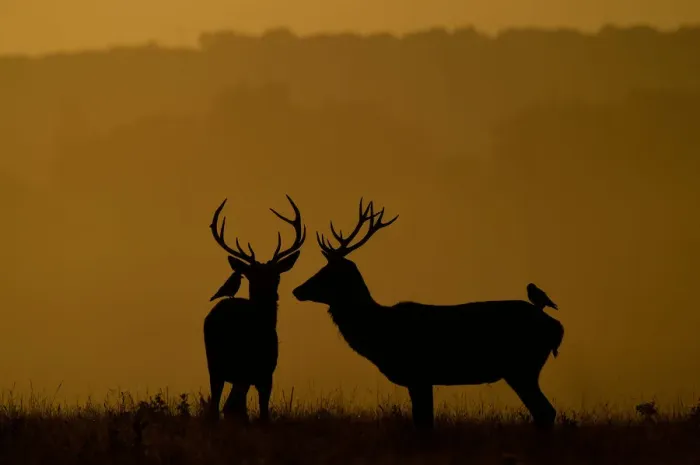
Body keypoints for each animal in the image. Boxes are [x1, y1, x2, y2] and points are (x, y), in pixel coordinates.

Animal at [204, 194, 306, 424]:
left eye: (277, 275)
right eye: (253, 276)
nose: (271, 295)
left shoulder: (265, 371)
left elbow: (260, 411)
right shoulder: (254, 370)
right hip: (219, 364)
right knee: (221, 404)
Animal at [292, 198, 564, 431]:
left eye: (327, 273)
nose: (297, 289)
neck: (380, 332)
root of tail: (556, 327)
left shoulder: (419, 373)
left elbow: (423, 424)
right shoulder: (423, 378)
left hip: (522, 367)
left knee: (546, 412)